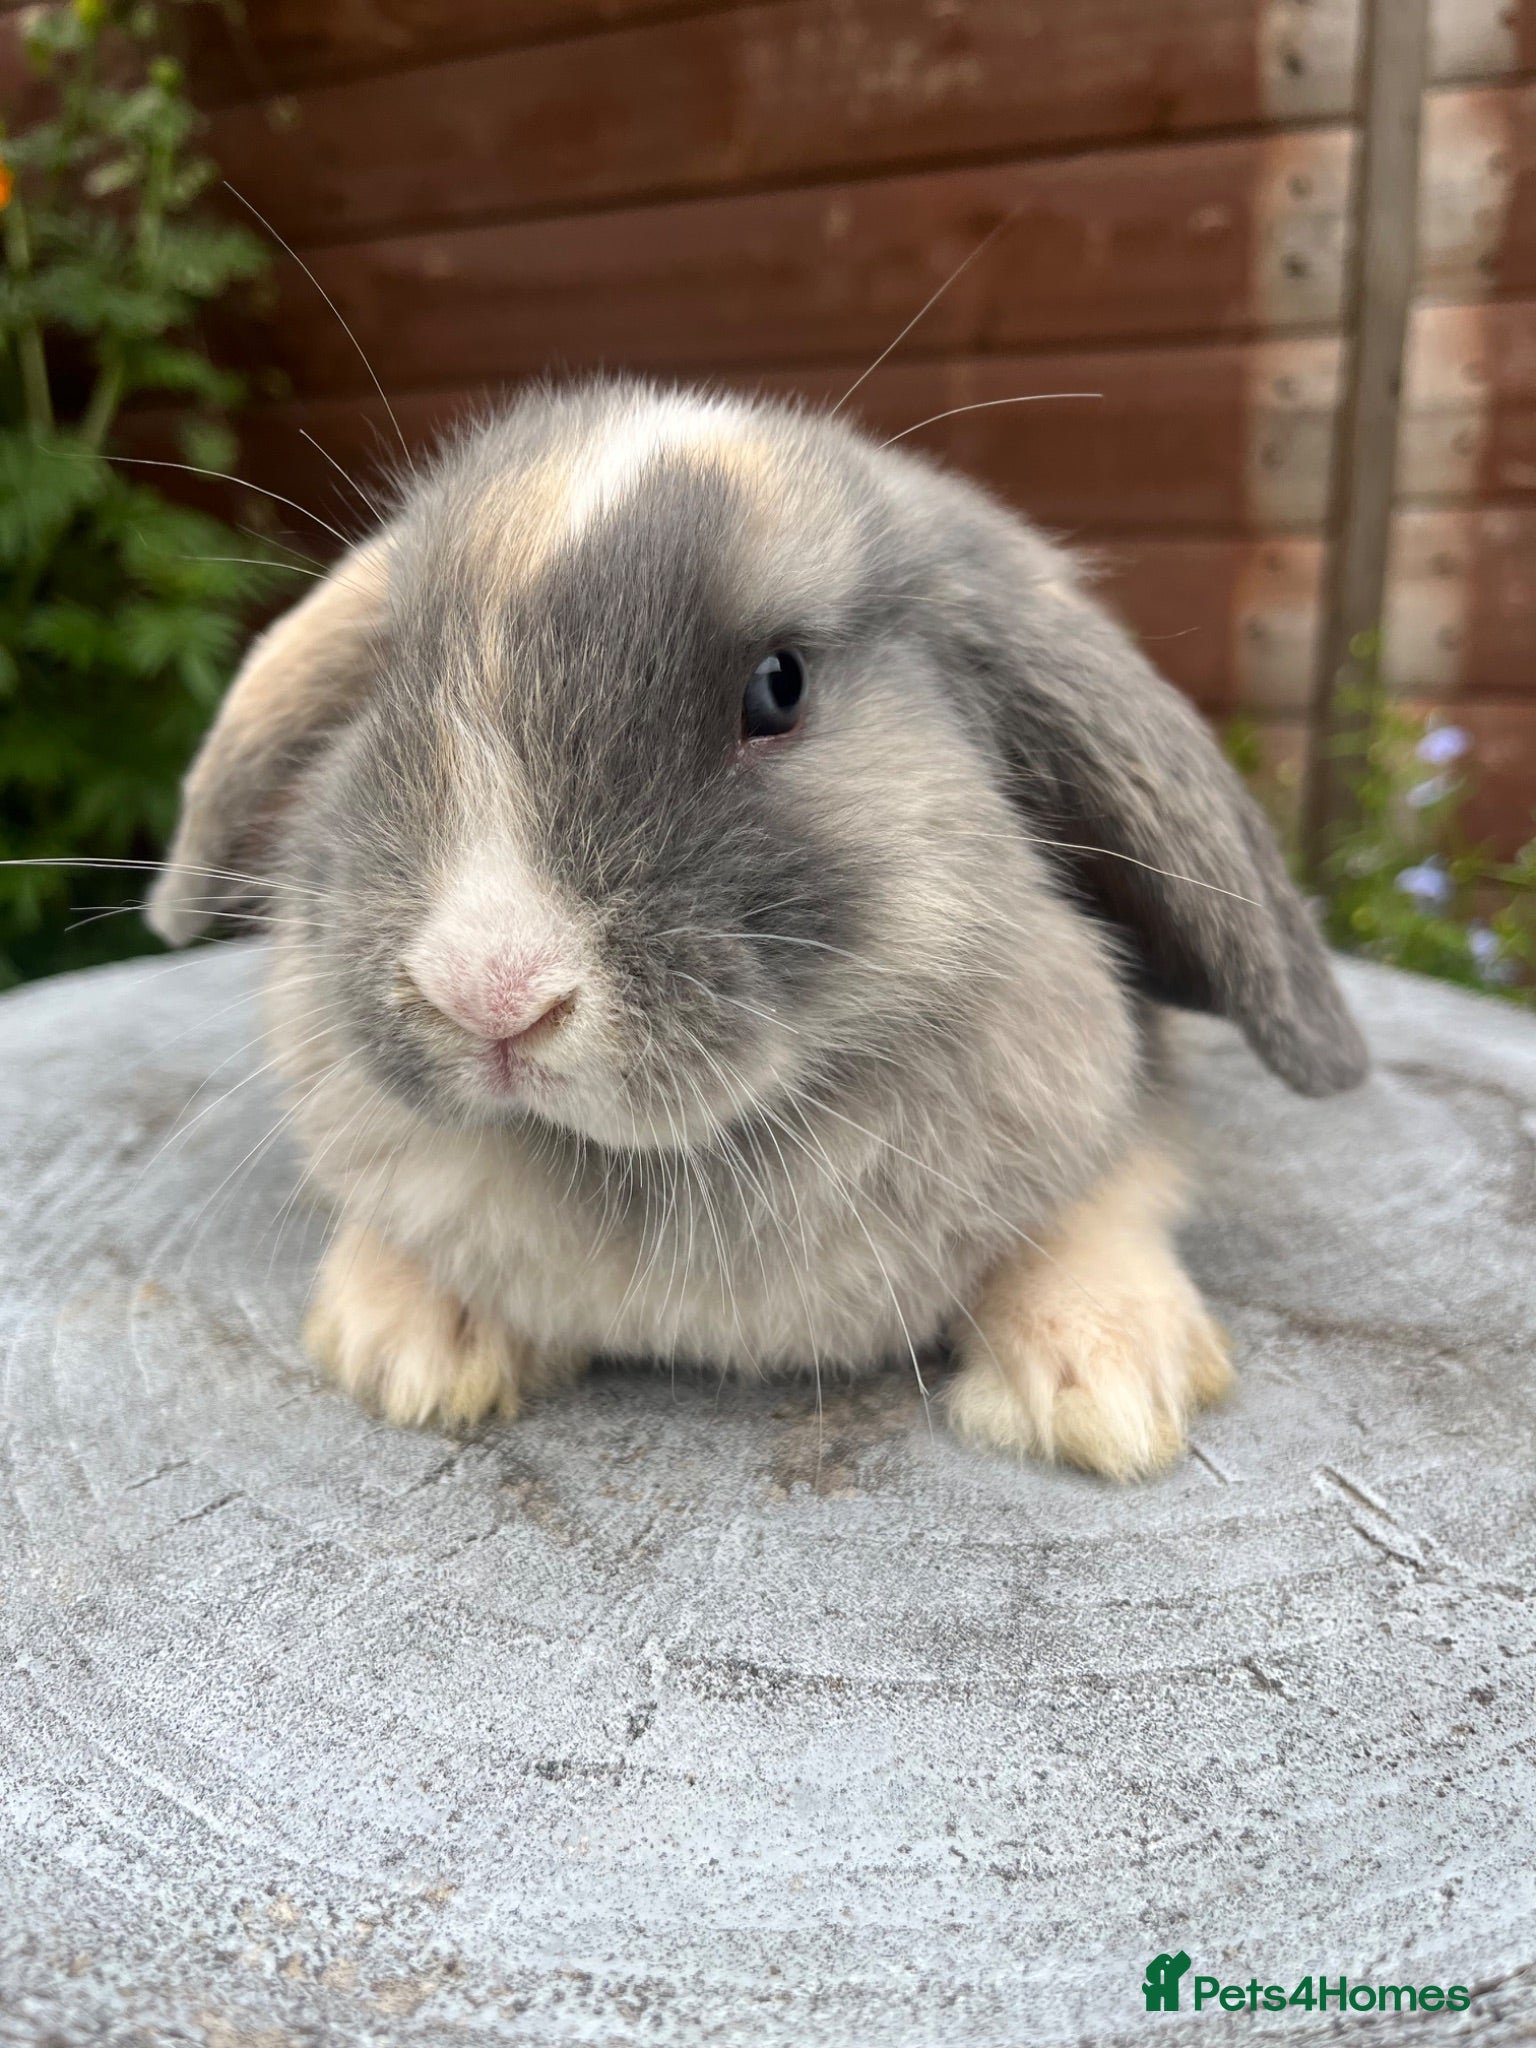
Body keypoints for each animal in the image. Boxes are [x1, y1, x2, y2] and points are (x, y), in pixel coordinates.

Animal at [147, 377, 1367, 1481]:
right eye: (391, 677)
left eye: (779, 685)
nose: (490, 994)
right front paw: (407, 1348)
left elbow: (1106, 1205)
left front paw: (1105, 1383)